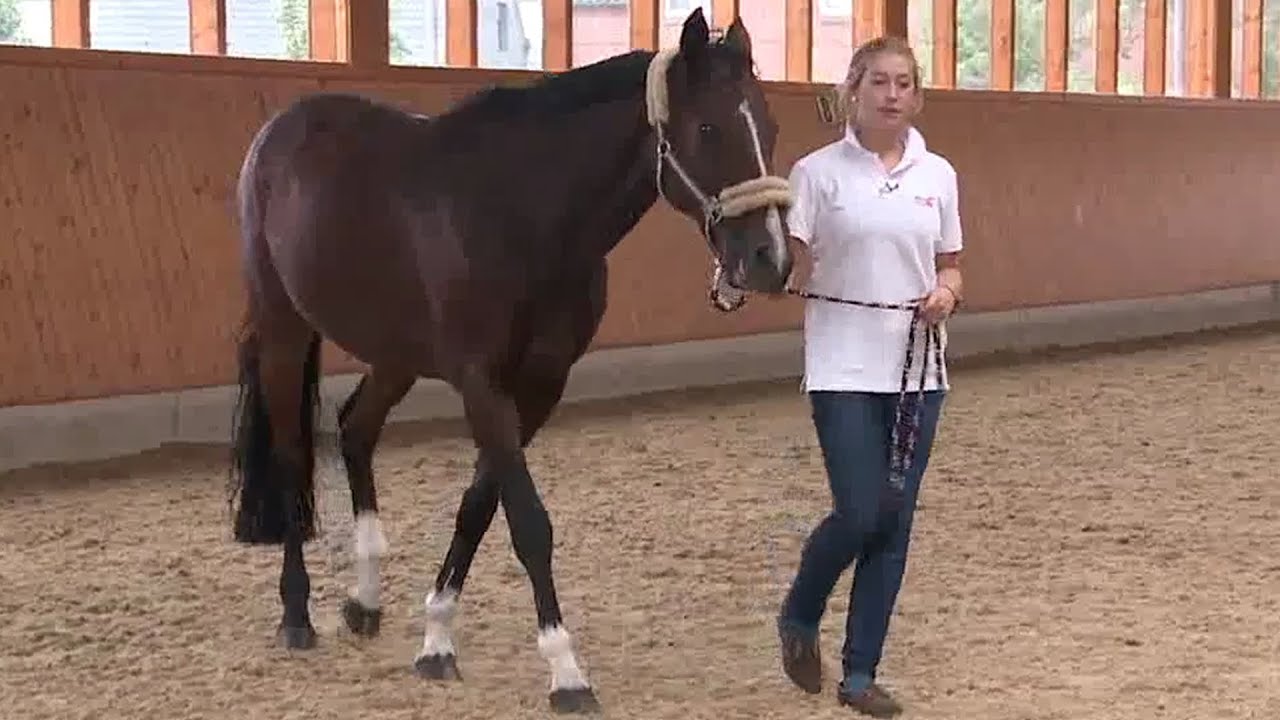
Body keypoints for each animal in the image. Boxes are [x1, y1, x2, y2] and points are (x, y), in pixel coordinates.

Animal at [226, 7, 793, 713]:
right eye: (708, 128)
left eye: (769, 127)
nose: (771, 259)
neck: (523, 215)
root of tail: (282, 129)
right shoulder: (482, 383)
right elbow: (528, 522)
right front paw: (565, 670)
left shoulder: (540, 385)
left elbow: (479, 507)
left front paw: (437, 635)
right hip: (284, 327)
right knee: (290, 456)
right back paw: (297, 614)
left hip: (397, 351)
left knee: (356, 428)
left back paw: (365, 600)